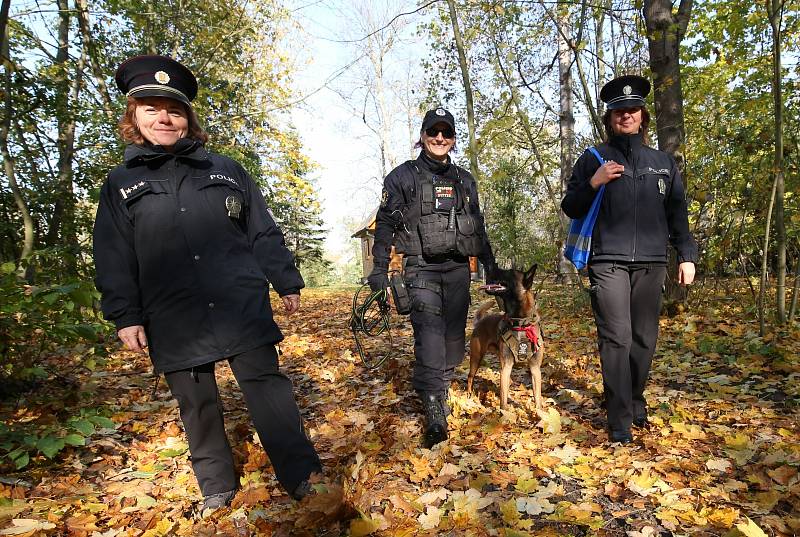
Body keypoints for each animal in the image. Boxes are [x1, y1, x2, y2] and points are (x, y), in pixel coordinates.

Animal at [466, 264, 548, 410]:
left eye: (509, 272)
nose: (489, 267)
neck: (521, 324)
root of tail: (480, 321)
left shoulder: (535, 369)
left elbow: (537, 398)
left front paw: (540, 413)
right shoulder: (506, 367)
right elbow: (503, 401)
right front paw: (504, 414)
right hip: (476, 358)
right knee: (470, 378)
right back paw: (469, 396)